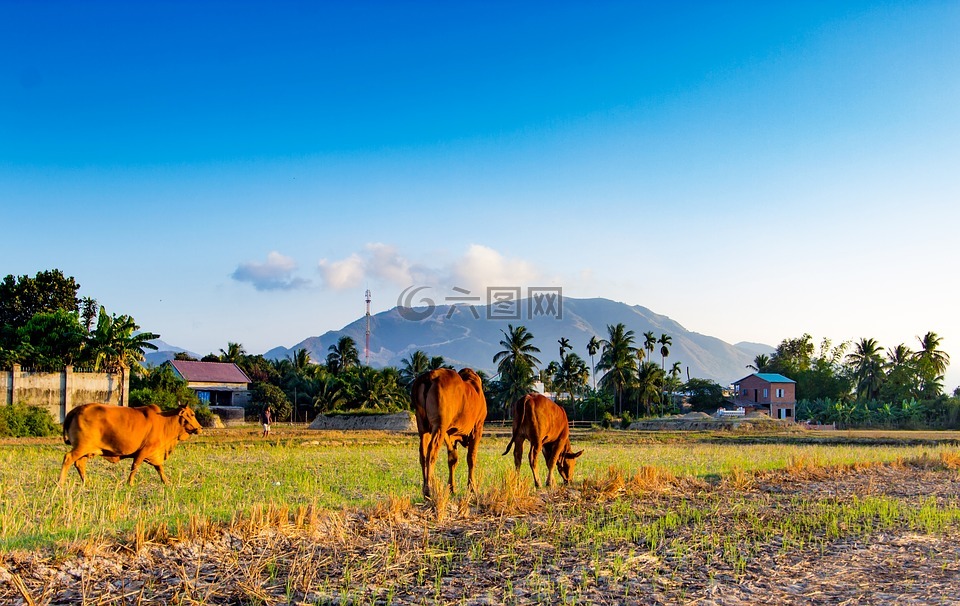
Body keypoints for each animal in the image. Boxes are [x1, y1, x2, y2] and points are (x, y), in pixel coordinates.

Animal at [60, 404, 202, 490]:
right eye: (192, 414)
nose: (200, 428)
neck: (165, 422)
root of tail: (76, 410)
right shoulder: (144, 450)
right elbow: (135, 466)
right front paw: (130, 483)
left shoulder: (154, 454)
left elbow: (159, 468)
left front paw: (167, 482)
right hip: (82, 447)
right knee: (68, 458)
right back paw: (61, 482)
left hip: (87, 450)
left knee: (79, 464)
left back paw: (86, 482)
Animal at [410, 368, 488, 502]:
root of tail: (430, 376)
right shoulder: (477, 428)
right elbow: (471, 458)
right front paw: (472, 489)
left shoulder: (449, 434)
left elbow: (452, 459)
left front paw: (452, 488)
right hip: (439, 425)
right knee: (431, 453)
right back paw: (429, 490)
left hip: (423, 425)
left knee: (423, 454)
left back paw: (425, 490)